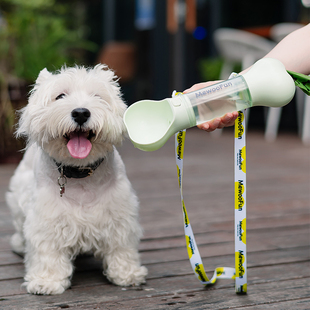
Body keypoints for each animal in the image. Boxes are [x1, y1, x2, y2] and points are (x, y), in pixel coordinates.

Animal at [5, 65, 148, 296]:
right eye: (60, 96)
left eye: (97, 96)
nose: (81, 112)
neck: (80, 172)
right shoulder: (46, 218)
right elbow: (47, 251)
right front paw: (47, 282)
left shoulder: (119, 213)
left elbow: (121, 245)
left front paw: (128, 274)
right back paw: (19, 244)